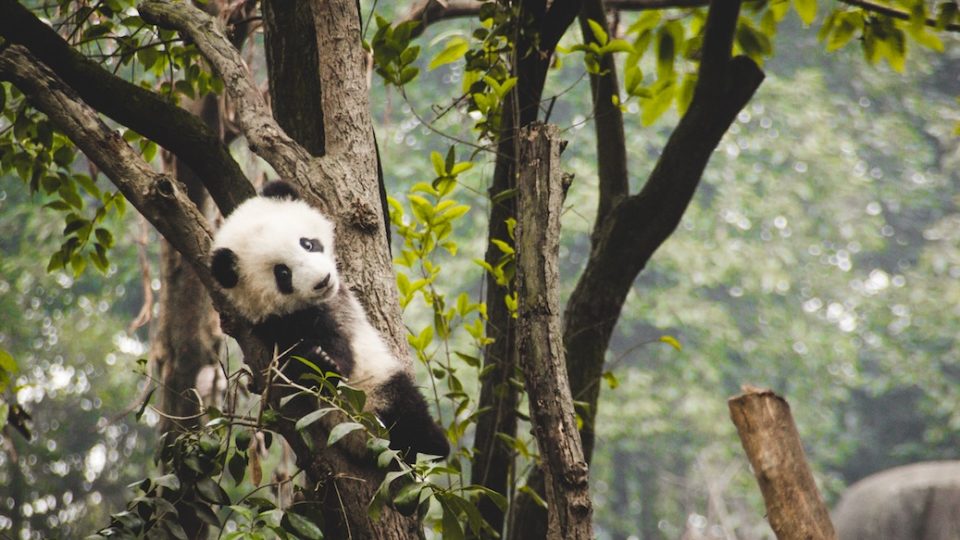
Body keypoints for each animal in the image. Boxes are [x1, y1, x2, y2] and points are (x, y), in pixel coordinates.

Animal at [210, 180, 449, 459]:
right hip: (376, 390)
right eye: (283, 273)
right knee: (407, 407)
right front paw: (320, 360)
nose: (322, 281)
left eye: (307, 243)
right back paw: (435, 442)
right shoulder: (277, 324)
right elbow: (315, 360)